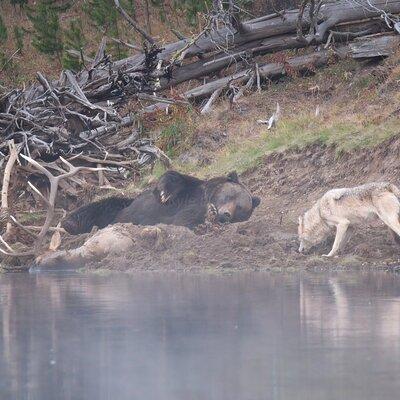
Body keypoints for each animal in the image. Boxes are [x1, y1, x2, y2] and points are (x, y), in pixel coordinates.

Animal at [61, 170, 260, 234]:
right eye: (230, 196)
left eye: (241, 209)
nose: (226, 214)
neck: (206, 198)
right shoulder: (191, 189)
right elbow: (173, 179)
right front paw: (163, 193)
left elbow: (188, 218)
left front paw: (204, 223)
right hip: (120, 209)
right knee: (97, 208)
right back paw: (69, 223)